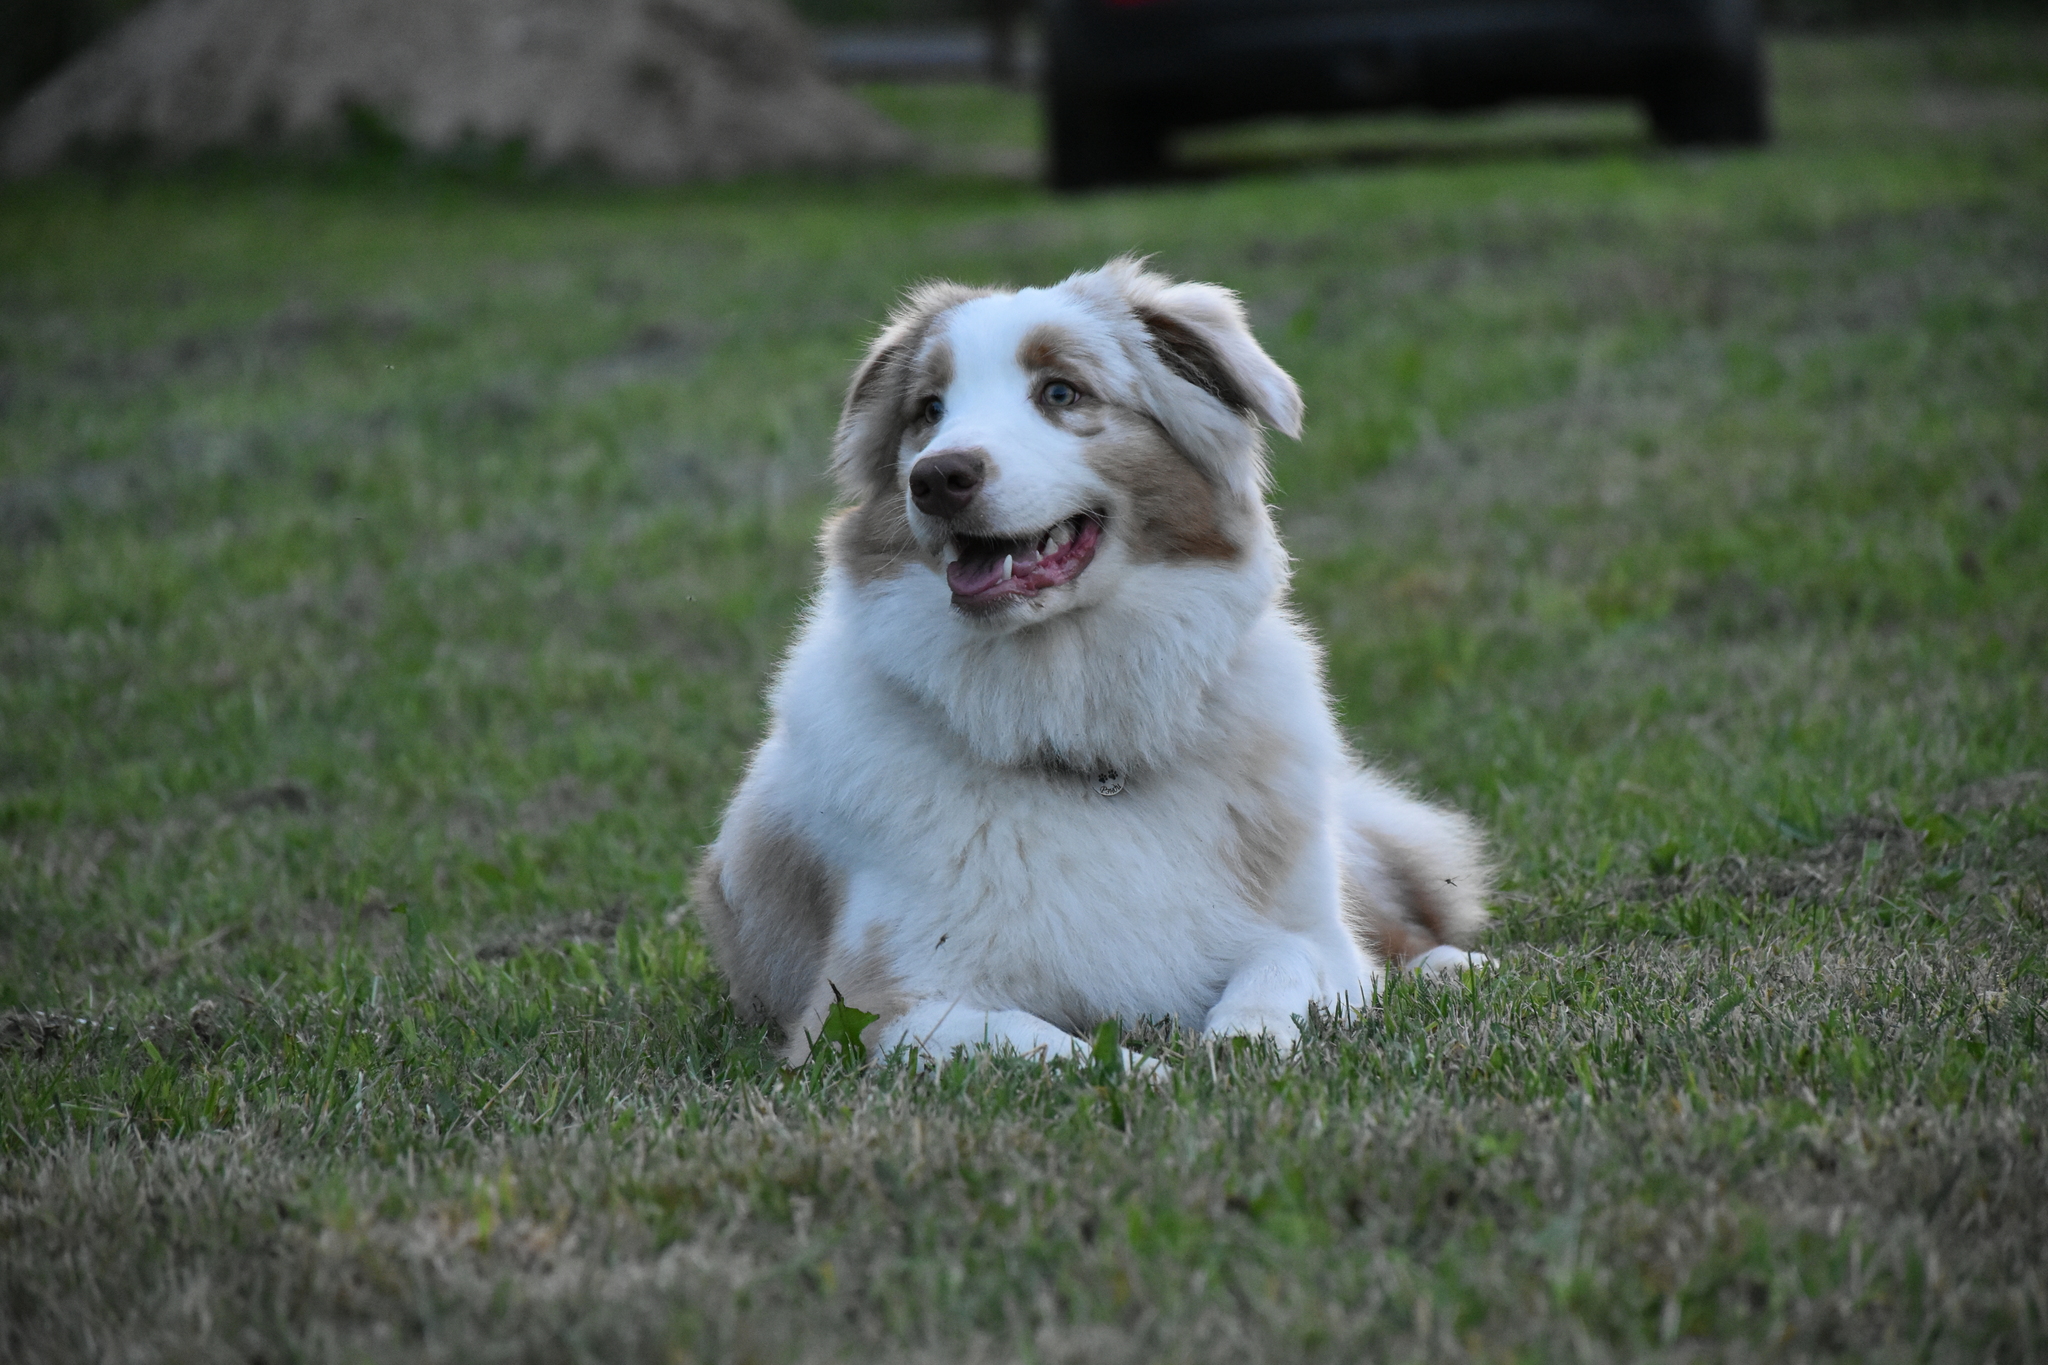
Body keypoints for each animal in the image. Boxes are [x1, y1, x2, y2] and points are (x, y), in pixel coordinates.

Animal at [692, 255, 1490, 1064]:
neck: (1079, 731)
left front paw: (1239, 1044)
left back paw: (1452, 966)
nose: (937, 477)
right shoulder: (868, 1011)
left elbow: (1279, 973)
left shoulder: (1318, 941)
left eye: (1060, 392)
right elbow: (1045, 1044)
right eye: (929, 410)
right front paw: (1151, 1072)